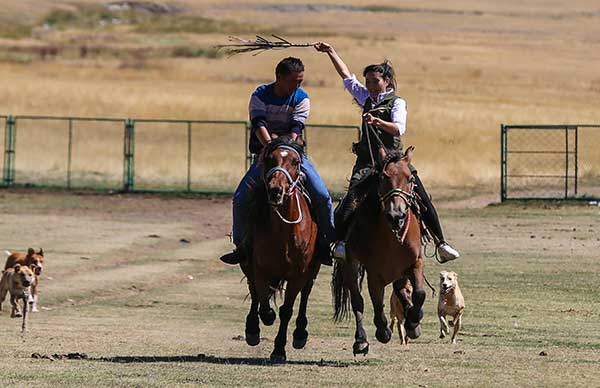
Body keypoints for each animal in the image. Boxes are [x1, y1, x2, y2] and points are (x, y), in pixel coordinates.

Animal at [241, 139, 322, 364]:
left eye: (295, 162)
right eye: (270, 159)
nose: (276, 190)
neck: (283, 233)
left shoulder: (298, 274)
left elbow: (286, 310)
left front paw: (279, 350)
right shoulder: (260, 269)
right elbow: (263, 302)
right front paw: (263, 322)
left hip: (312, 270)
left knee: (305, 294)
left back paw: (300, 333)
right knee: (254, 292)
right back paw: (252, 329)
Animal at [330, 146, 424, 354]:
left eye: (410, 178)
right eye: (382, 178)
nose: (396, 215)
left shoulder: (415, 264)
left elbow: (419, 294)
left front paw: (414, 322)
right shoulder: (375, 274)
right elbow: (376, 305)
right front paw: (383, 331)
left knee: (400, 290)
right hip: (350, 266)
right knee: (357, 301)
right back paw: (361, 340)